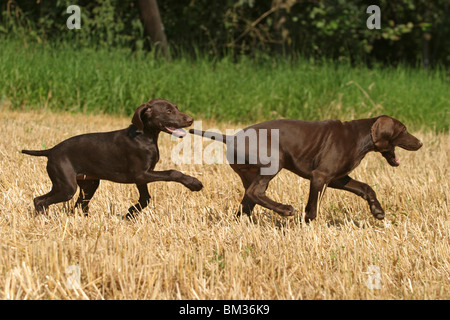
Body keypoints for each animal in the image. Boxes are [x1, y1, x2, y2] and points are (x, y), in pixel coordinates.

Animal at [22, 98, 202, 218]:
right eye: (168, 111)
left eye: (176, 108)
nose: (191, 120)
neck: (145, 136)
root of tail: (51, 151)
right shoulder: (140, 174)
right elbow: (172, 172)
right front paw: (193, 183)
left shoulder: (142, 177)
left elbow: (145, 199)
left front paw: (130, 213)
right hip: (66, 186)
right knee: (40, 200)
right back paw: (43, 219)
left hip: (88, 184)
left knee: (78, 205)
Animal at [190, 115, 422, 222]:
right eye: (403, 130)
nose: (420, 143)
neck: (360, 136)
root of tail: (231, 138)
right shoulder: (320, 177)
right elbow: (311, 208)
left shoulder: (337, 178)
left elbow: (366, 188)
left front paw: (377, 210)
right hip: (274, 162)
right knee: (255, 192)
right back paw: (284, 209)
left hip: (249, 174)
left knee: (248, 201)